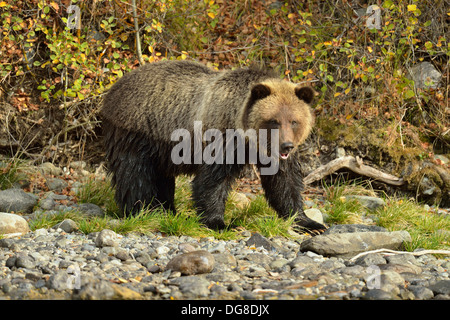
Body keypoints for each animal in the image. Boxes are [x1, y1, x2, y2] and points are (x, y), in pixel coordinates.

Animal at [101, 60, 326, 234]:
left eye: (294, 121)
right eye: (273, 121)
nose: (286, 146)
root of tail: (113, 90)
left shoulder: (271, 154)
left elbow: (285, 182)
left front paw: (308, 222)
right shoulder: (222, 138)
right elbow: (213, 180)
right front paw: (219, 222)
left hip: (162, 148)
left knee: (162, 178)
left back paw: (167, 210)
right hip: (138, 133)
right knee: (135, 175)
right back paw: (143, 211)